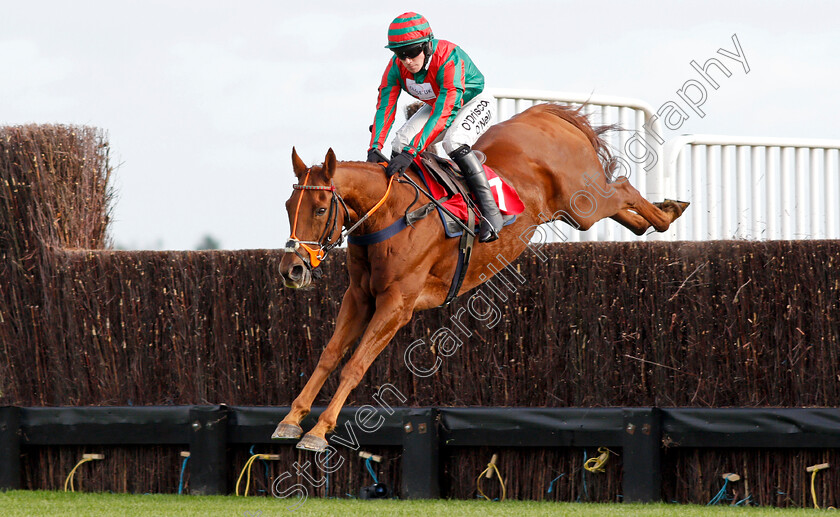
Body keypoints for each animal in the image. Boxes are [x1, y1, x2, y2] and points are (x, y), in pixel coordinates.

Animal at [272, 103, 684, 450]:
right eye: (289, 206)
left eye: (320, 209)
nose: (291, 268)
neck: (390, 214)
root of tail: (543, 114)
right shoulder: (359, 296)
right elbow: (330, 355)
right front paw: (292, 419)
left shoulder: (397, 304)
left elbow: (355, 365)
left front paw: (319, 431)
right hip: (576, 210)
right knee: (624, 207)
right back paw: (659, 214)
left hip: (582, 200)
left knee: (624, 186)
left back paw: (669, 212)